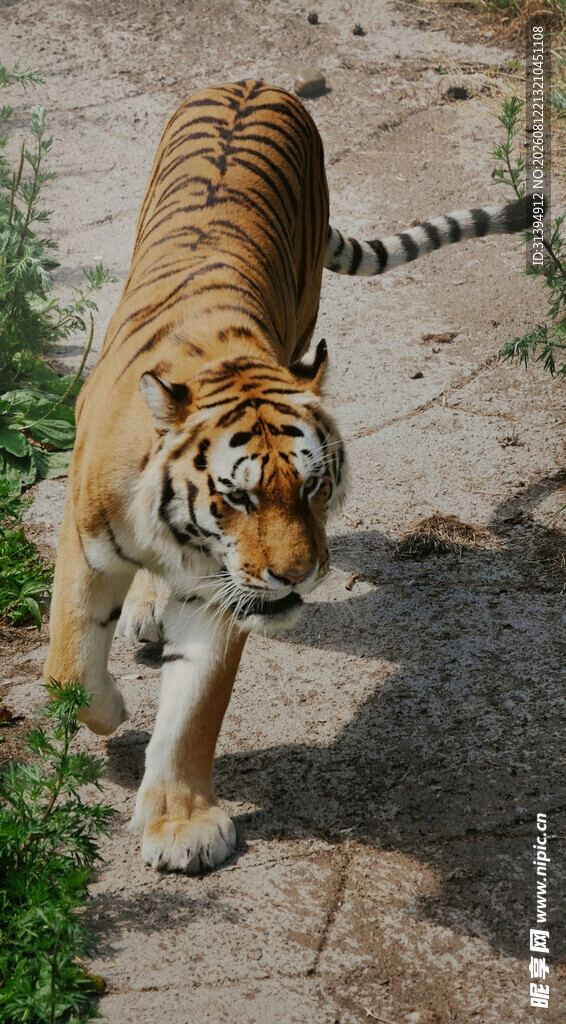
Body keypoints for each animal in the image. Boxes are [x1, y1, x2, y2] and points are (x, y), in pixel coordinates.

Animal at [45, 79, 533, 873]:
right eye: (236, 497)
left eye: (312, 486)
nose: (298, 577)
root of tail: (258, 82)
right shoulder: (87, 549)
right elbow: (68, 668)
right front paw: (112, 712)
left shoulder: (218, 591)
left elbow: (194, 711)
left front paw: (182, 825)